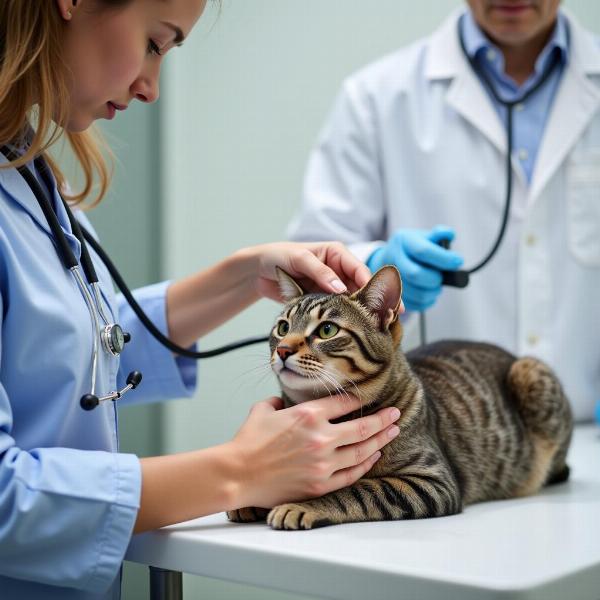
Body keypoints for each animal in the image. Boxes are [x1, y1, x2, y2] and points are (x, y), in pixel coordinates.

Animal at [227, 268, 576, 528]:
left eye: (327, 330)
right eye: (283, 328)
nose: (283, 350)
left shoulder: (432, 481)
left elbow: (357, 489)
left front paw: (304, 504)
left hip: (530, 372)